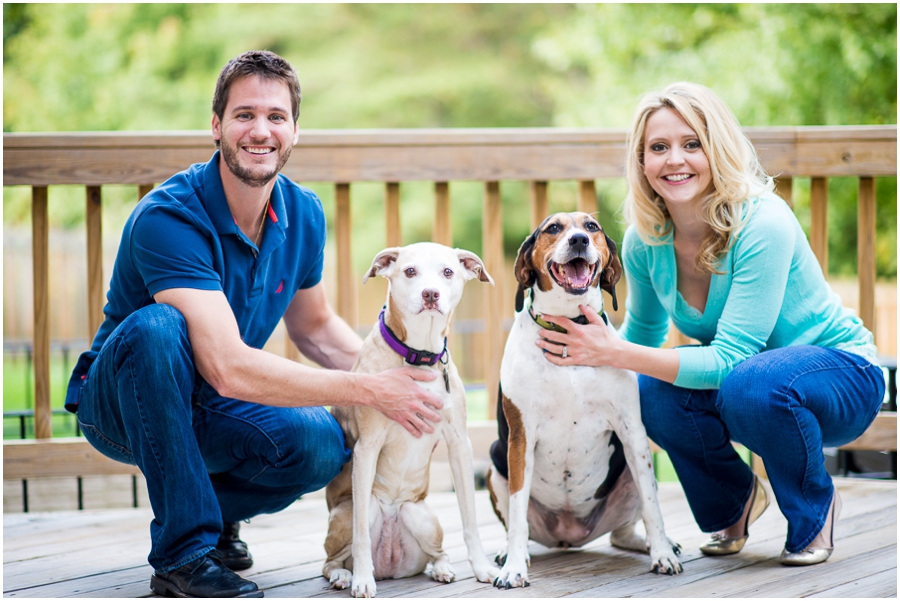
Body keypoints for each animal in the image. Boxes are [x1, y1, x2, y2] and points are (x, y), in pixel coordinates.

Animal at [322, 243, 500, 596]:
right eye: (409, 271)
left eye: (448, 272)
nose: (430, 294)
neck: (419, 355)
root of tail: (390, 567)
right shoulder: (367, 449)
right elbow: (361, 535)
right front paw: (362, 579)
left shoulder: (460, 445)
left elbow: (470, 519)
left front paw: (482, 567)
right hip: (351, 512)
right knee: (331, 560)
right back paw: (345, 575)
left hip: (420, 516)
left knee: (437, 552)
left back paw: (441, 569)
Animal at [488, 212, 680, 584]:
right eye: (553, 228)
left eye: (591, 227)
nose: (579, 240)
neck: (568, 328)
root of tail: (569, 533)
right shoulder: (520, 438)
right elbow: (517, 514)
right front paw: (514, 568)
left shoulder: (633, 434)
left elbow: (654, 507)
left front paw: (663, 553)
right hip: (495, 463)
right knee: (518, 523)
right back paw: (509, 553)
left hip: (630, 472)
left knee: (623, 531)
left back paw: (653, 544)